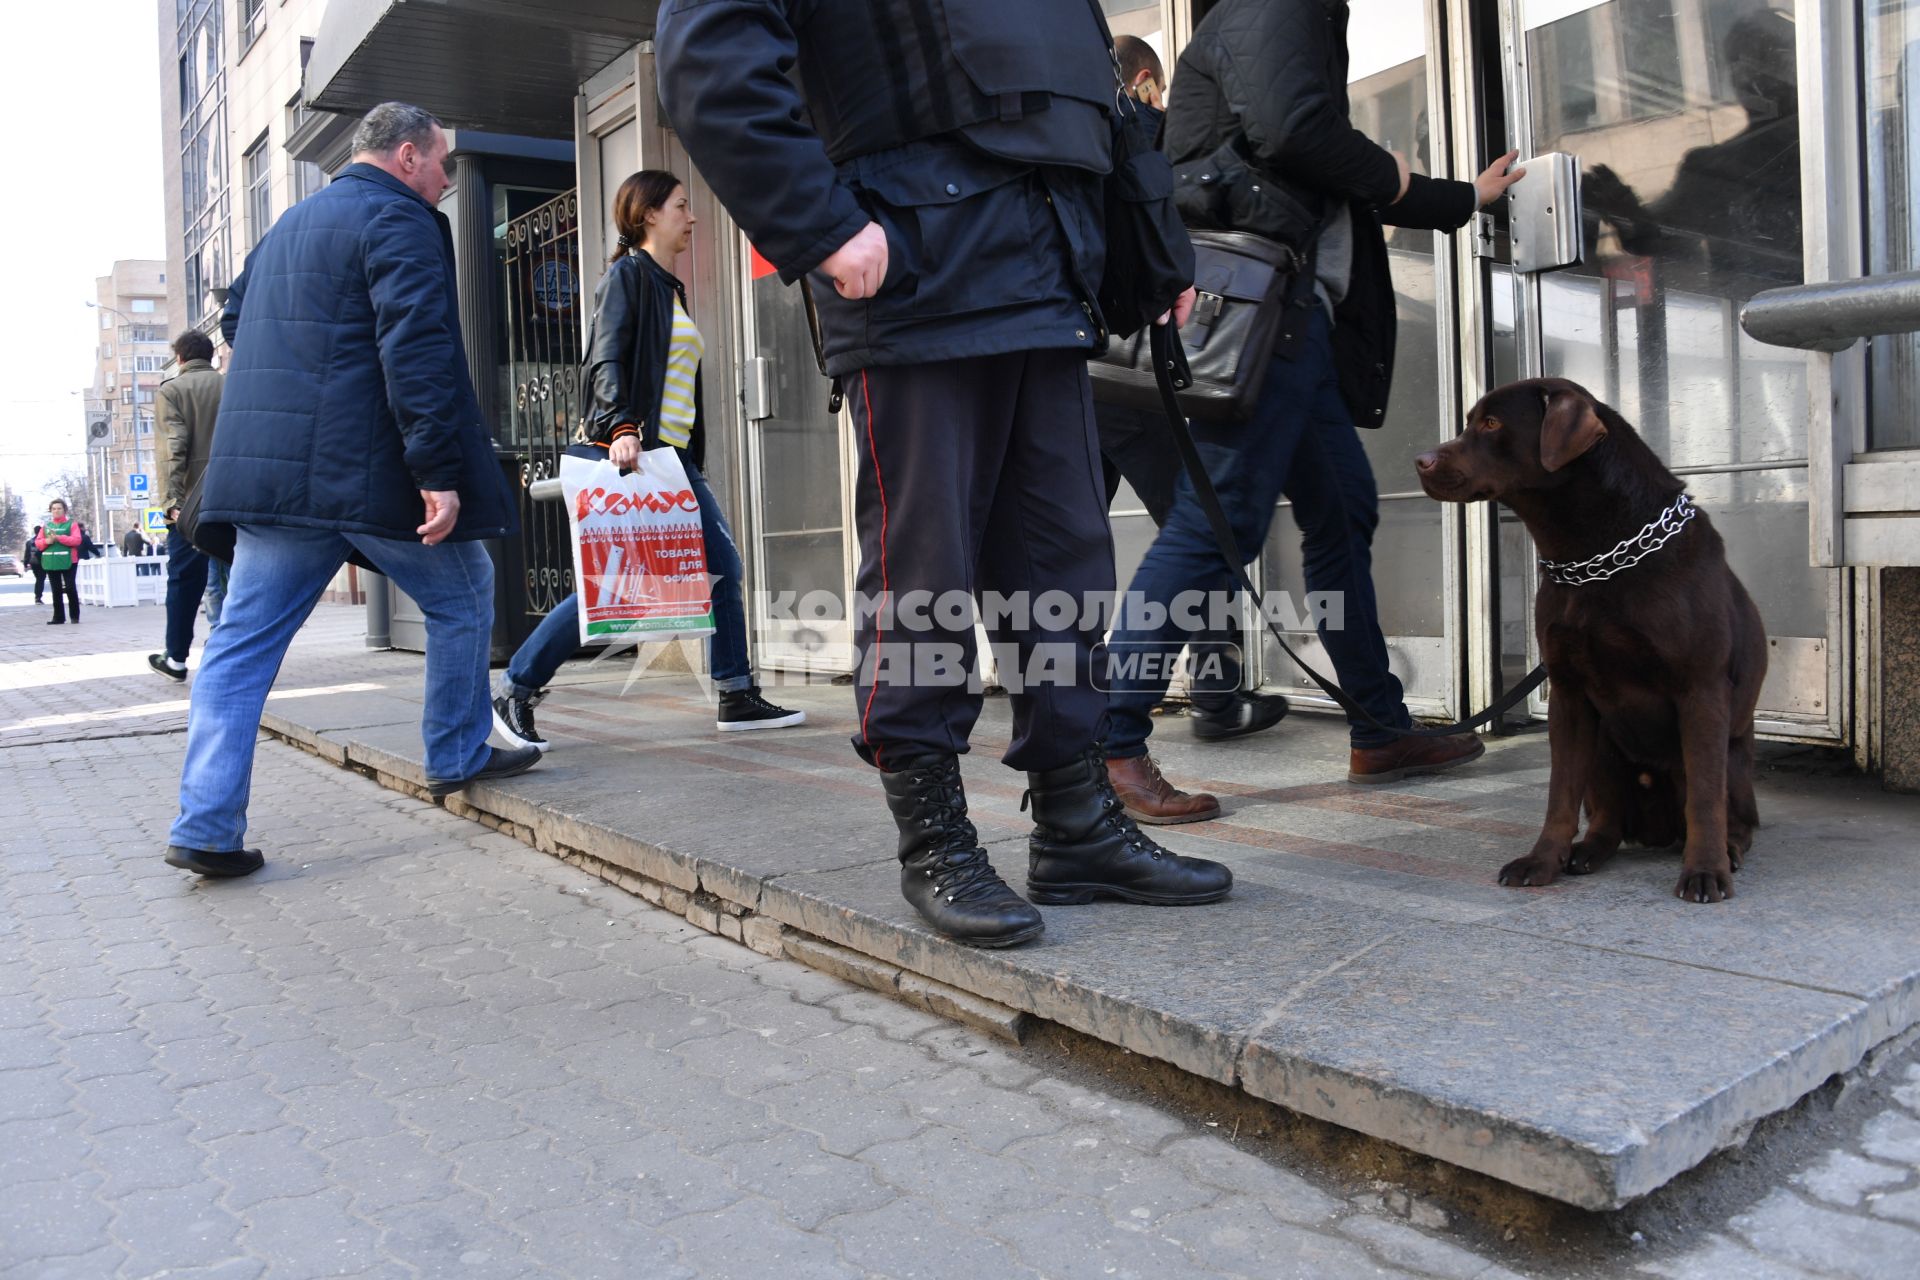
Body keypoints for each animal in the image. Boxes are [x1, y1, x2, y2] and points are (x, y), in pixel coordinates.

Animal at [1420, 378, 1758, 901]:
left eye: (1492, 423)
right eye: (1470, 421)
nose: (1421, 460)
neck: (1593, 557)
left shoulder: (1700, 690)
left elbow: (1705, 798)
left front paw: (1704, 870)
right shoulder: (1569, 696)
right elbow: (1560, 793)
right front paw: (1542, 860)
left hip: (1735, 757)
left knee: (1735, 815)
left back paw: (1729, 851)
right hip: (1603, 750)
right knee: (1607, 818)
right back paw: (1586, 851)